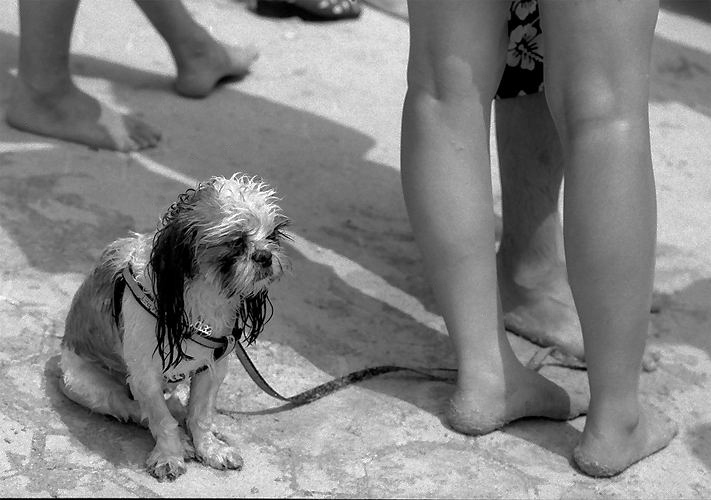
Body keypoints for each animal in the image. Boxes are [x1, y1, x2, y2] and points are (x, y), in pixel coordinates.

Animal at [59, 174, 290, 481]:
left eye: (273, 236)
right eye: (236, 241)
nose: (265, 255)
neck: (204, 296)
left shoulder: (212, 370)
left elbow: (200, 416)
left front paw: (210, 448)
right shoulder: (145, 377)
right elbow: (161, 420)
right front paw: (170, 454)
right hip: (88, 385)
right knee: (134, 409)